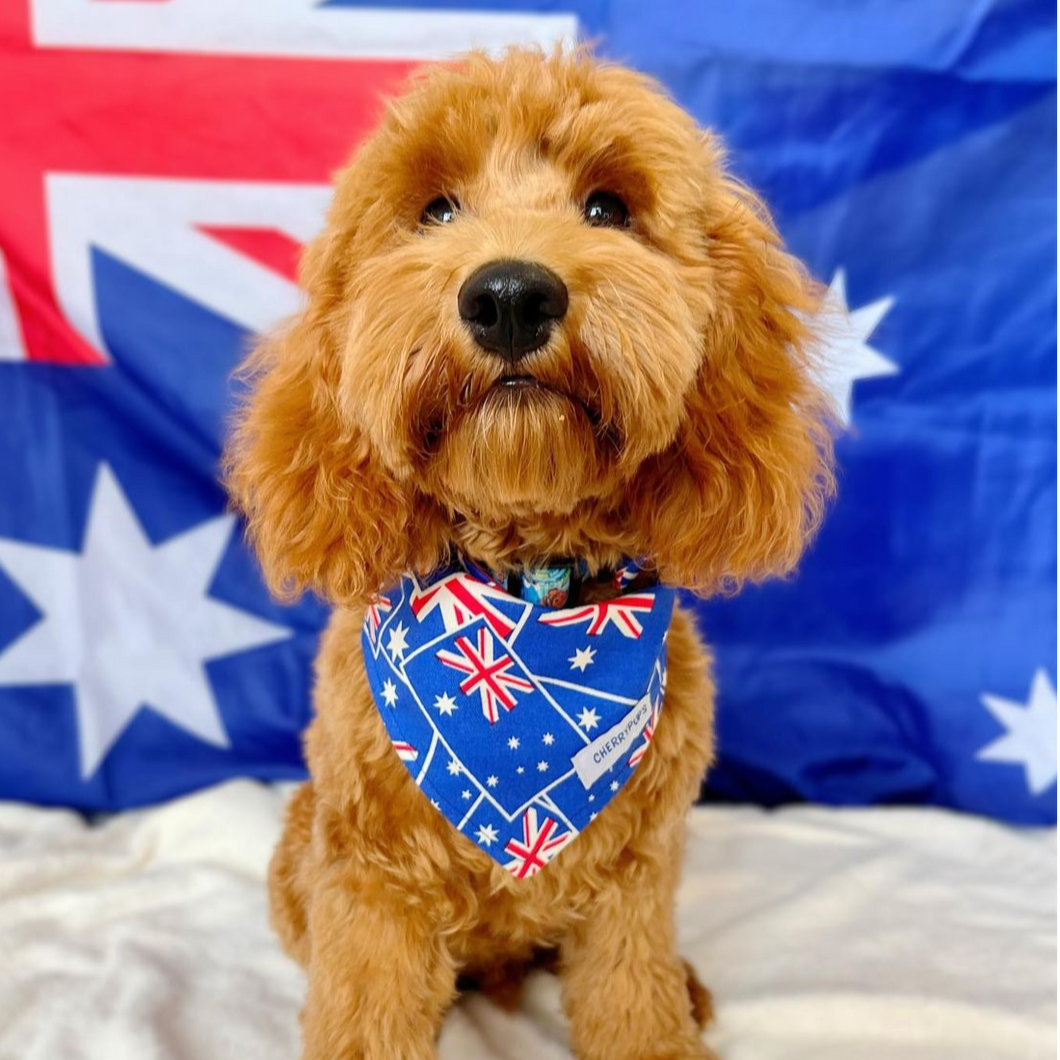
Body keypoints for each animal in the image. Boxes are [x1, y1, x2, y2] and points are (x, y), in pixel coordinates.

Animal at [225, 45, 835, 1060]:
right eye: (436, 209)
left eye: (608, 207)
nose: (510, 295)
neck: (528, 597)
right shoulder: (371, 882)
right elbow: (364, 1012)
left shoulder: (636, 879)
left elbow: (635, 1006)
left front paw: (665, 1020)